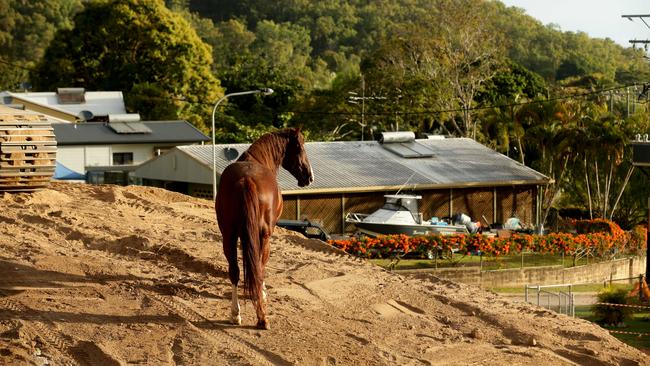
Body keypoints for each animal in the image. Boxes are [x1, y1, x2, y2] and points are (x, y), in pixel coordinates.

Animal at [214, 128, 312, 328]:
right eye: (300, 147)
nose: (309, 176)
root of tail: (246, 180)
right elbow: (260, 265)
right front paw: (263, 293)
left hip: (229, 235)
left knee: (234, 271)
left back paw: (235, 314)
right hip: (264, 236)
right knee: (258, 267)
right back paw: (262, 316)